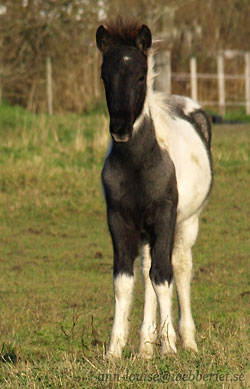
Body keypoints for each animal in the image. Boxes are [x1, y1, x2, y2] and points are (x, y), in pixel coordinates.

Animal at [96, 18, 213, 358]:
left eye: (140, 75)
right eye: (105, 76)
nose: (120, 130)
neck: (139, 164)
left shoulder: (164, 216)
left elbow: (163, 276)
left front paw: (170, 346)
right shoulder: (118, 219)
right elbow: (125, 280)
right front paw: (115, 350)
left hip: (187, 222)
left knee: (180, 267)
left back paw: (187, 341)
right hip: (147, 231)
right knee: (147, 268)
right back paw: (146, 345)